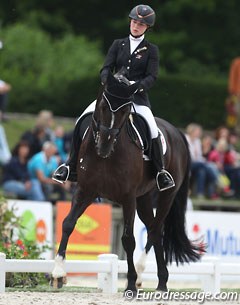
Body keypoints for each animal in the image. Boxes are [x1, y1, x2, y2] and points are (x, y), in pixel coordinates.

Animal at [51, 72, 202, 292]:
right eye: (103, 107)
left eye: (125, 111)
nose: (104, 146)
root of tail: (176, 131)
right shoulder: (85, 190)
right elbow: (68, 223)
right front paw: (58, 274)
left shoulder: (127, 197)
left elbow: (128, 239)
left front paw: (130, 284)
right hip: (144, 197)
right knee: (154, 229)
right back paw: (157, 281)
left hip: (166, 195)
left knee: (155, 230)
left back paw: (147, 276)